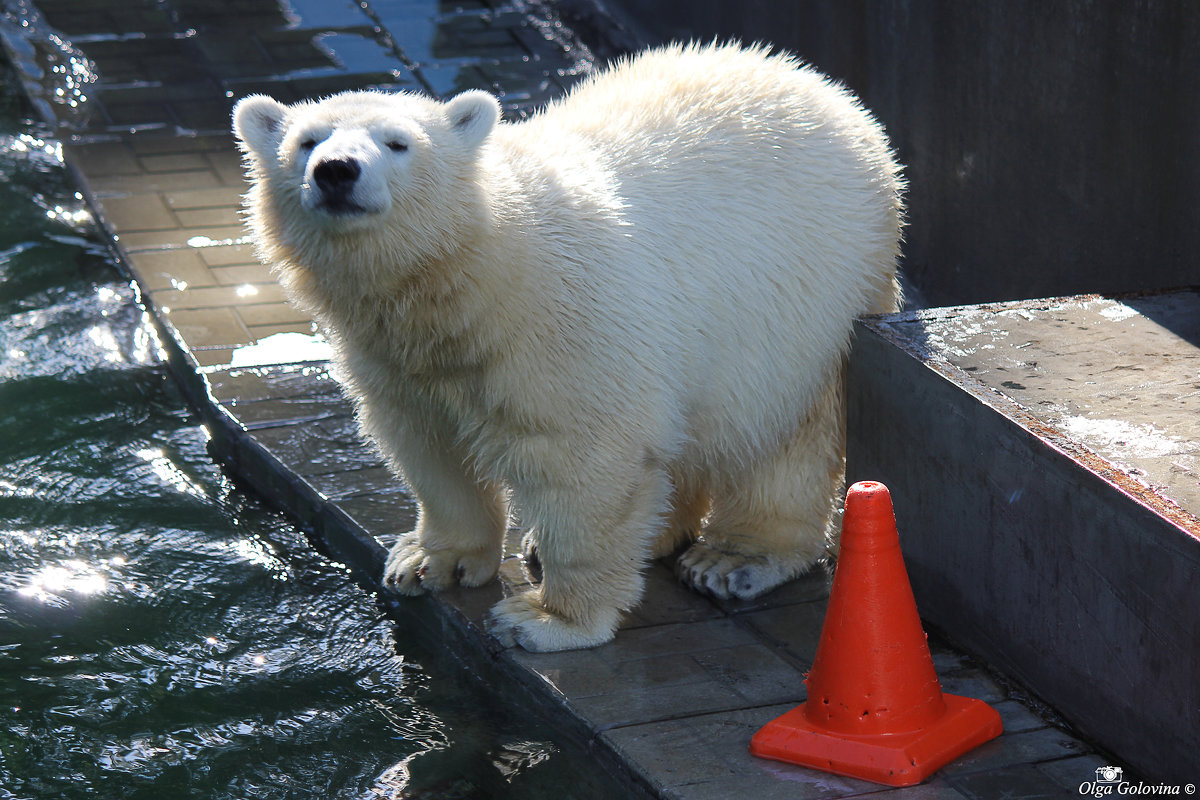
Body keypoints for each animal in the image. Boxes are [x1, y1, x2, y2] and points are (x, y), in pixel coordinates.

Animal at [231, 42, 902, 652]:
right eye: (306, 141)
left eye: (398, 143)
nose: (336, 169)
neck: (471, 272)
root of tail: (822, 89)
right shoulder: (395, 354)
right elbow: (428, 445)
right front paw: (430, 561)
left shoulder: (562, 321)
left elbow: (584, 457)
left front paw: (547, 620)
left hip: (806, 301)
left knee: (784, 433)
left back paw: (732, 559)